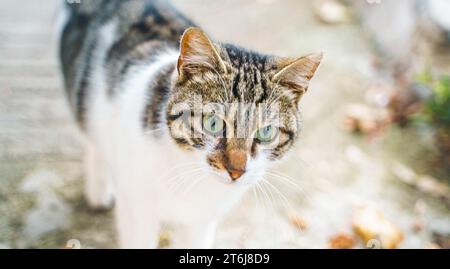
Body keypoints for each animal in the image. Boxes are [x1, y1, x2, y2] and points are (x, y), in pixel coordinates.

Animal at [58, 0, 322, 247]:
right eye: (213, 123)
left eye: (266, 131)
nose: (236, 171)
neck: (193, 176)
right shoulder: (137, 210)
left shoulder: (201, 222)